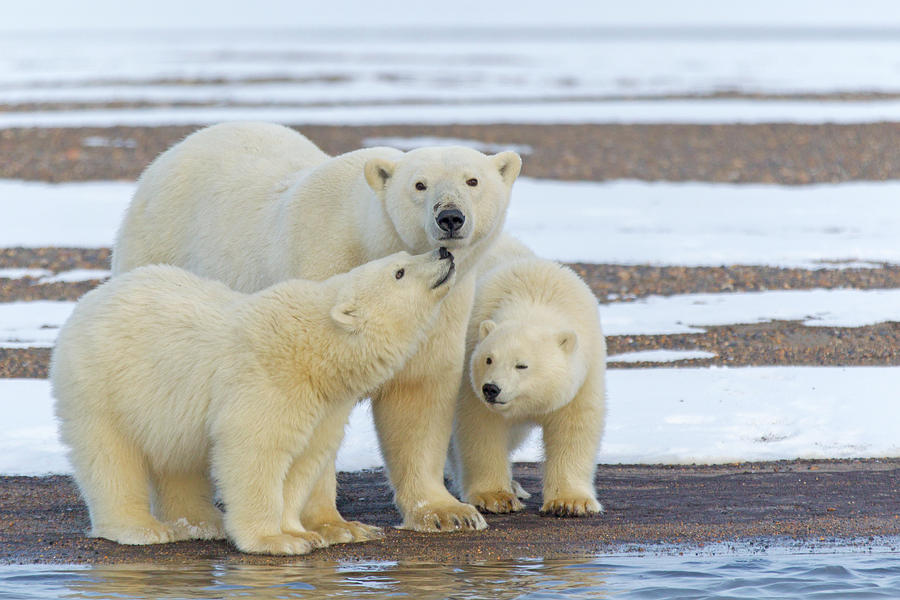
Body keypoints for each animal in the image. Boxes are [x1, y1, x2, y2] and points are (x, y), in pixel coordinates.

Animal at [51, 247, 458, 552]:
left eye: (404, 256)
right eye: (399, 272)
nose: (443, 251)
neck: (314, 349)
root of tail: (90, 299)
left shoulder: (325, 404)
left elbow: (304, 461)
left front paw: (301, 532)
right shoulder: (268, 381)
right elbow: (256, 452)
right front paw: (273, 540)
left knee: (178, 461)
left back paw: (201, 523)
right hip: (102, 384)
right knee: (109, 458)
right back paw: (142, 529)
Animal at [111, 122, 520, 536]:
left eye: (472, 180)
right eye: (419, 185)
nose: (450, 217)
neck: (367, 240)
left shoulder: (445, 308)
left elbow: (418, 396)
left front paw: (447, 512)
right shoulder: (321, 268)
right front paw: (333, 525)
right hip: (159, 252)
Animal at [450, 237, 604, 516]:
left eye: (521, 365)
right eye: (488, 359)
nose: (491, 388)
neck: (534, 295)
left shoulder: (584, 371)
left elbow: (574, 426)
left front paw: (570, 502)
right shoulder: (469, 360)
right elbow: (480, 426)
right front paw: (495, 498)